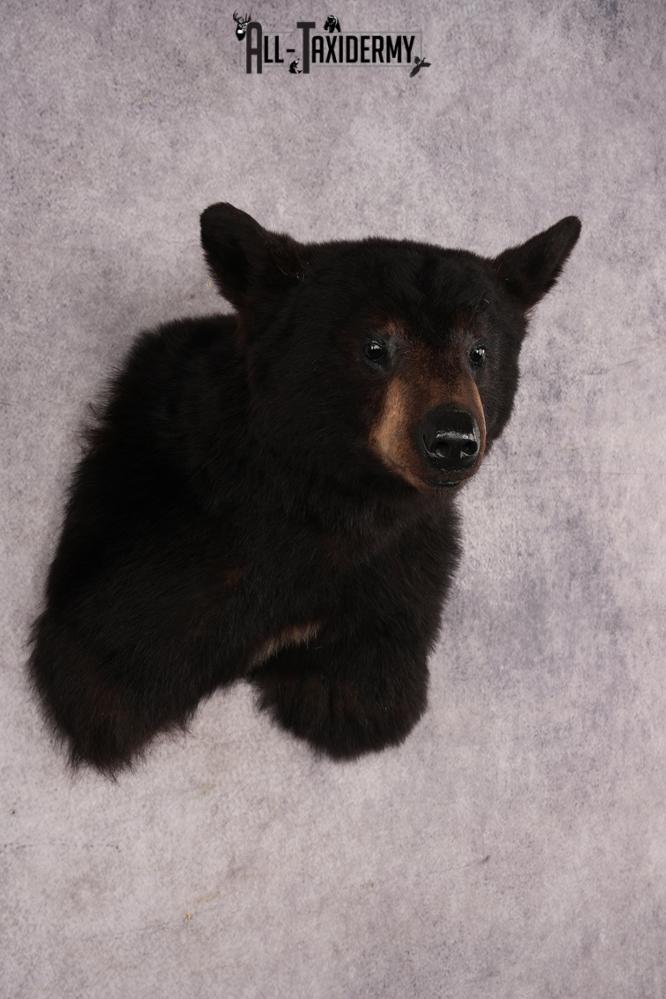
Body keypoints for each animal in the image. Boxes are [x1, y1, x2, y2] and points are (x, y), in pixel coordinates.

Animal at [27, 203, 581, 774]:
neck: (332, 503)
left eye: (479, 352)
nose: (453, 439)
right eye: (375, 347)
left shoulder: (398, 580)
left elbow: (364, 690)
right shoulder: (153, 576)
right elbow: (109, 668)